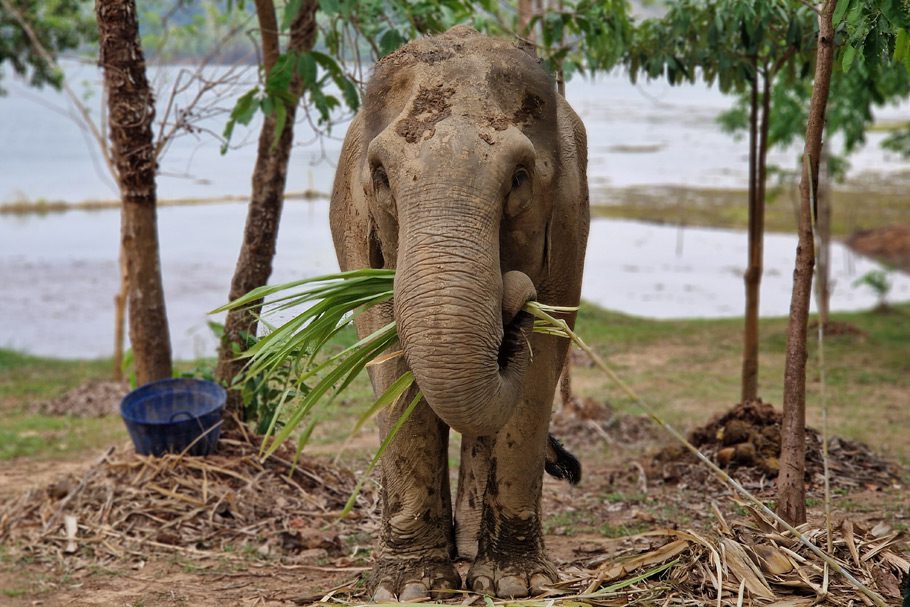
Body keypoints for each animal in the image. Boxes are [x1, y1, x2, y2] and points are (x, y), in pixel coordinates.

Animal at [328, 26, 592, 600]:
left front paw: (516, 584)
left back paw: (474, 553)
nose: (513, 302)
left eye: (519, 177)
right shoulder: (360, 237)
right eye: (380, 175)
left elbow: (541, 365)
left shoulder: (570, 223)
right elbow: (389, 357)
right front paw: (408, 588)